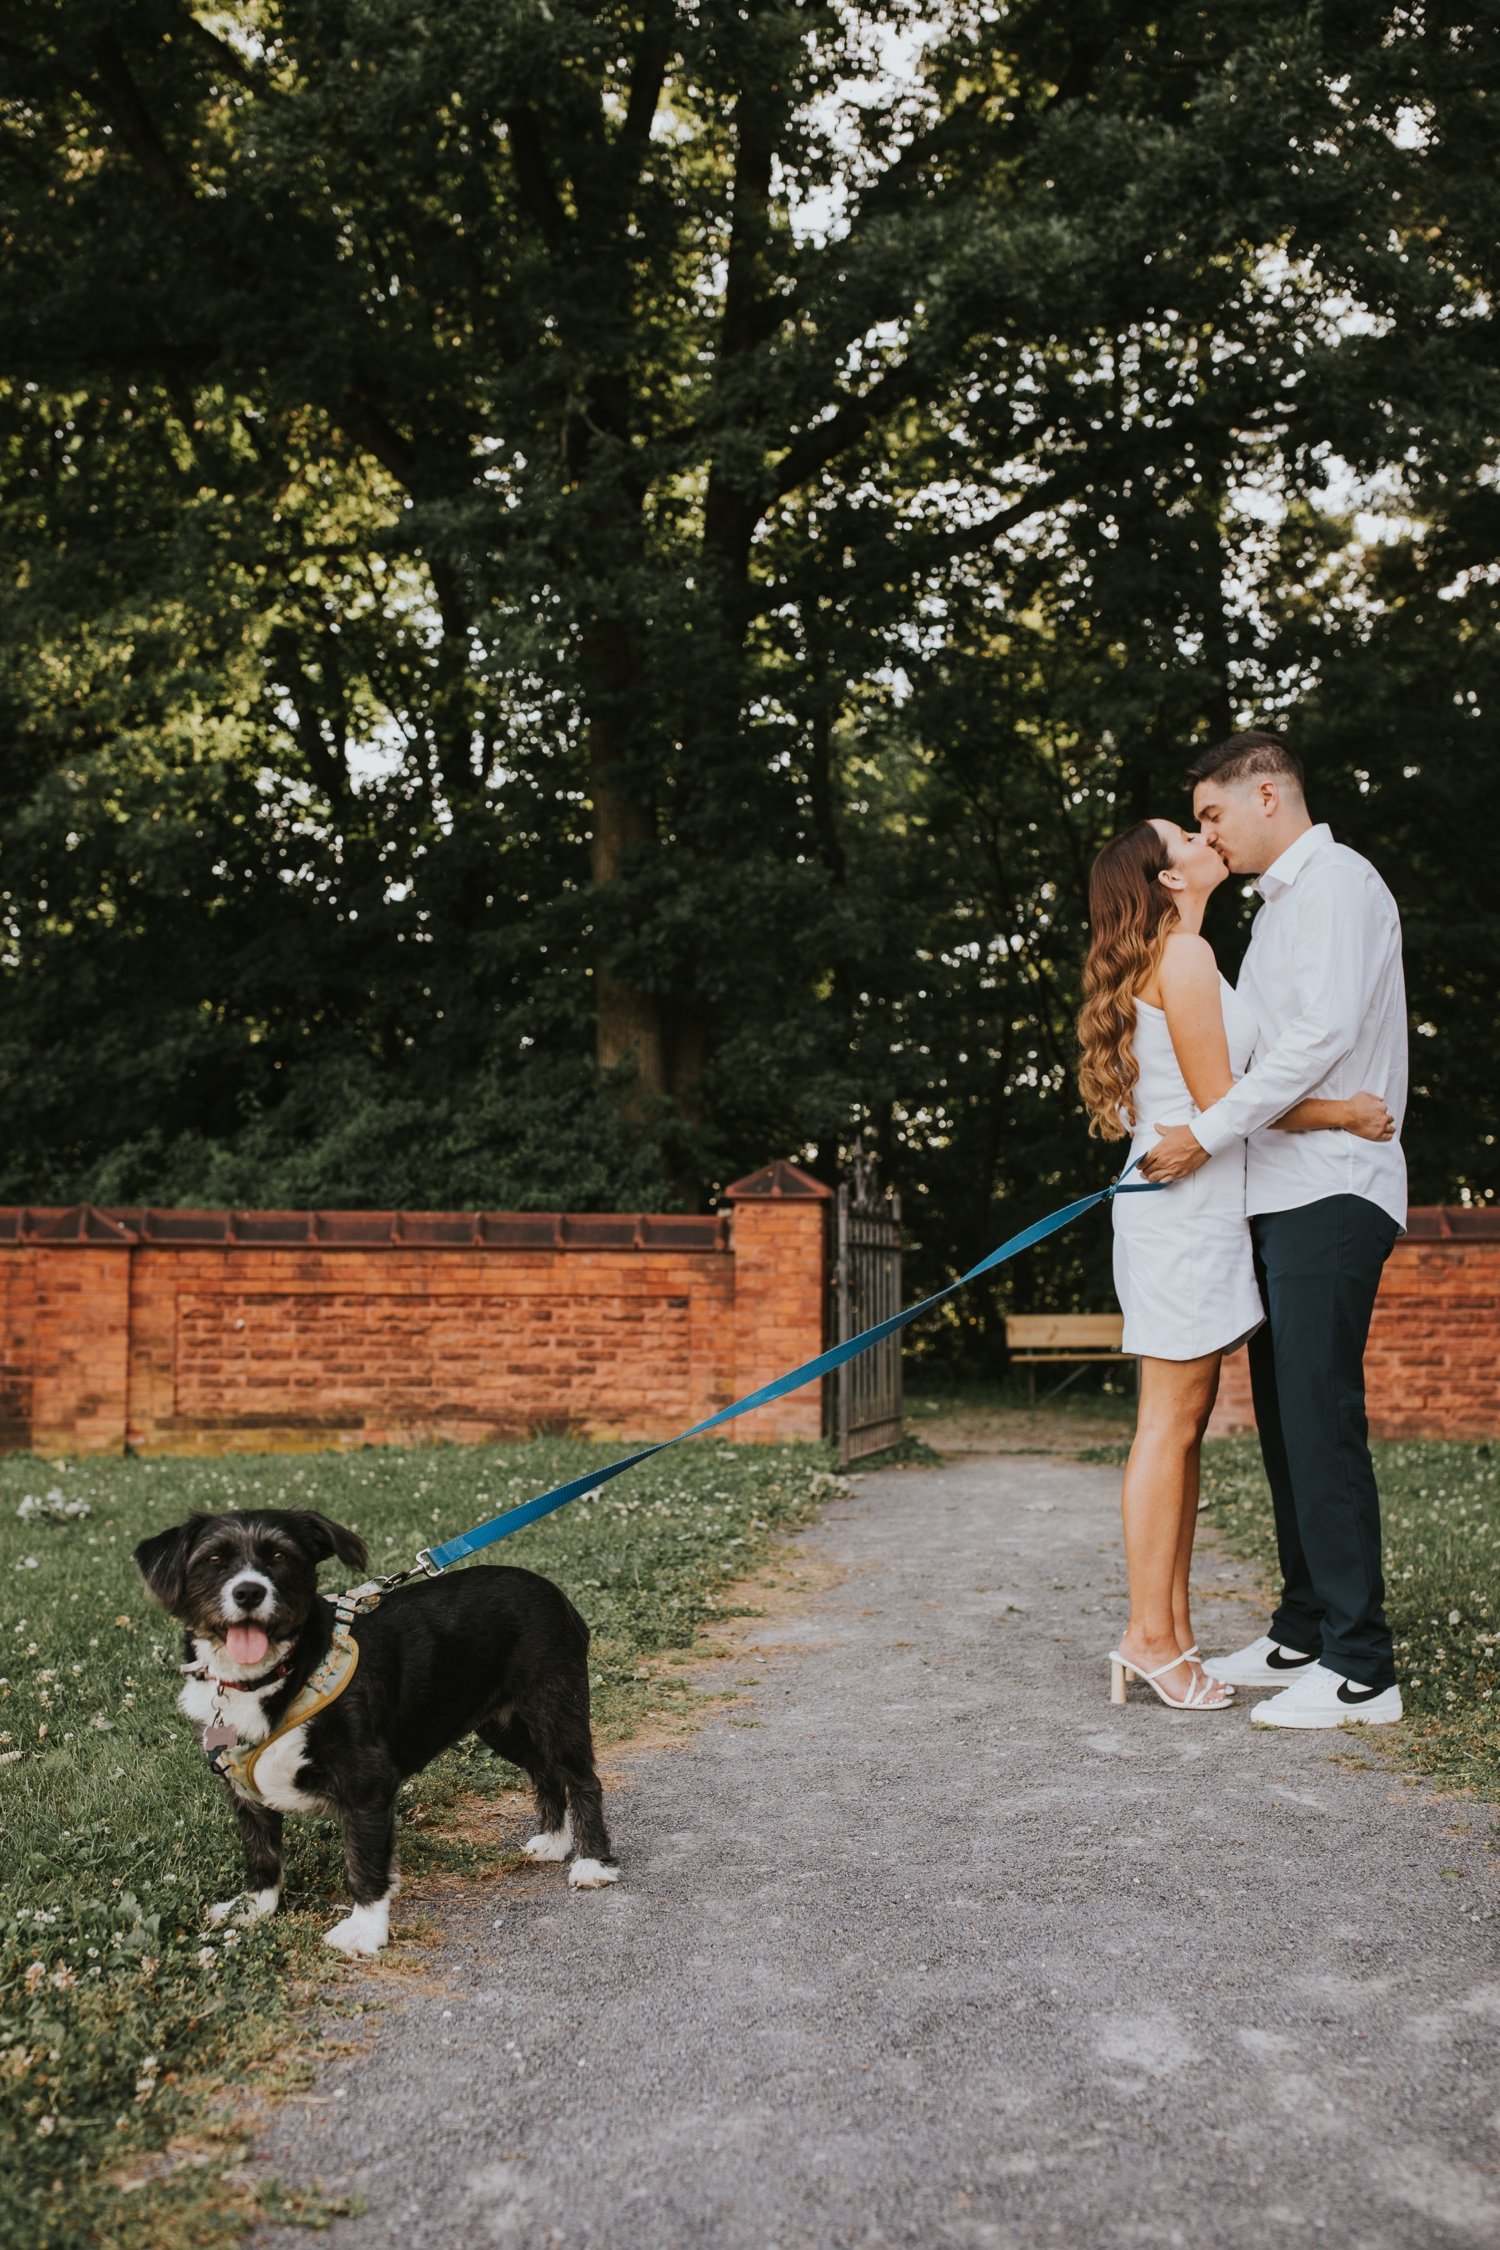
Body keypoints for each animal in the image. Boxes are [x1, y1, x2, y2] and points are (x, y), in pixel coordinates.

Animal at [134, 1512, 616, 1953]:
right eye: (214, 1559)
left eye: (280, 1556)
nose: (249, 1591)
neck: (276, 1674)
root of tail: (555, 1593)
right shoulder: (243, 1789)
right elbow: (261, 1850)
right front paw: (254, 1907)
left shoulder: (367, 1782)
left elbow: (362, 1860)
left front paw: (364, 1929)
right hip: (501, 1725)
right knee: (544, 1770)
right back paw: (554, 1840)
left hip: (554, 1704)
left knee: (581, 1778)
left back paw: (591, 1862)